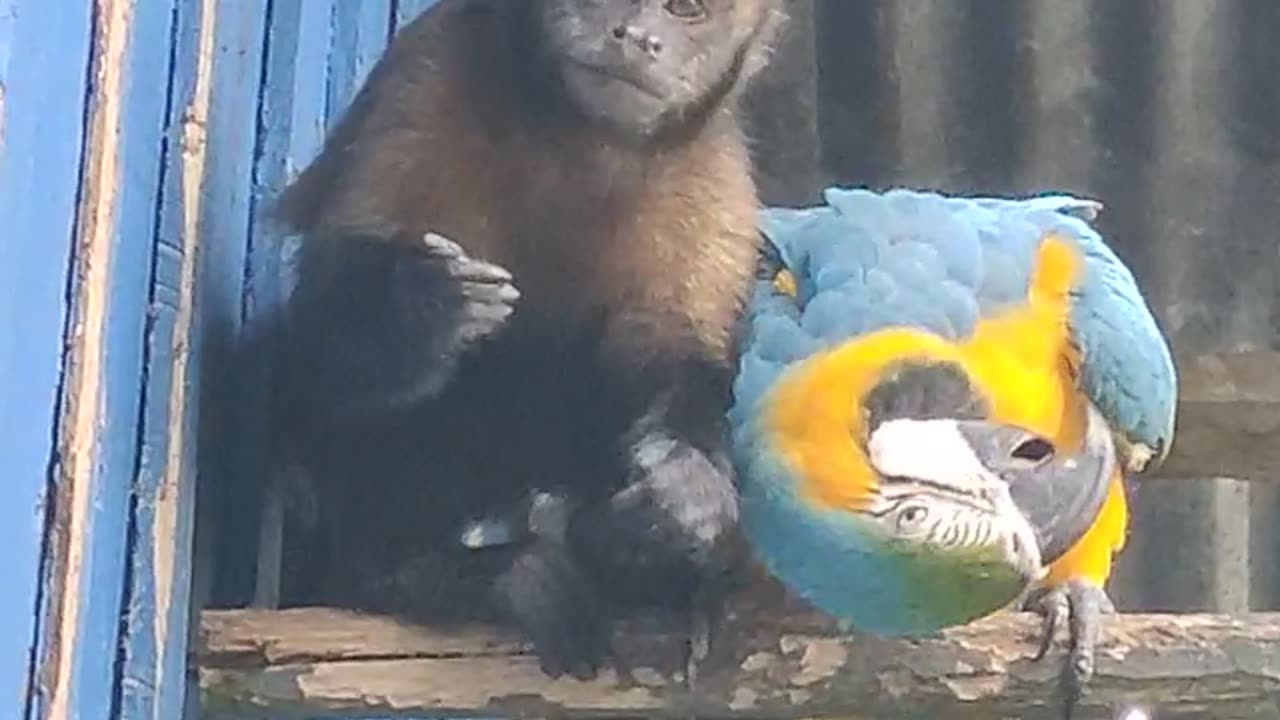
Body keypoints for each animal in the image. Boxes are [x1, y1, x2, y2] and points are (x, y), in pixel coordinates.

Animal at [267, 0, 788, 676]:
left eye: (687, 11)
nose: (637, 38)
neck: (578, 137)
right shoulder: (425, 74)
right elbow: (316, 341)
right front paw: (425, 306)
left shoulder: (708, 167)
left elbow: (674, 351)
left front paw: (686, 490)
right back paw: (442, 575)